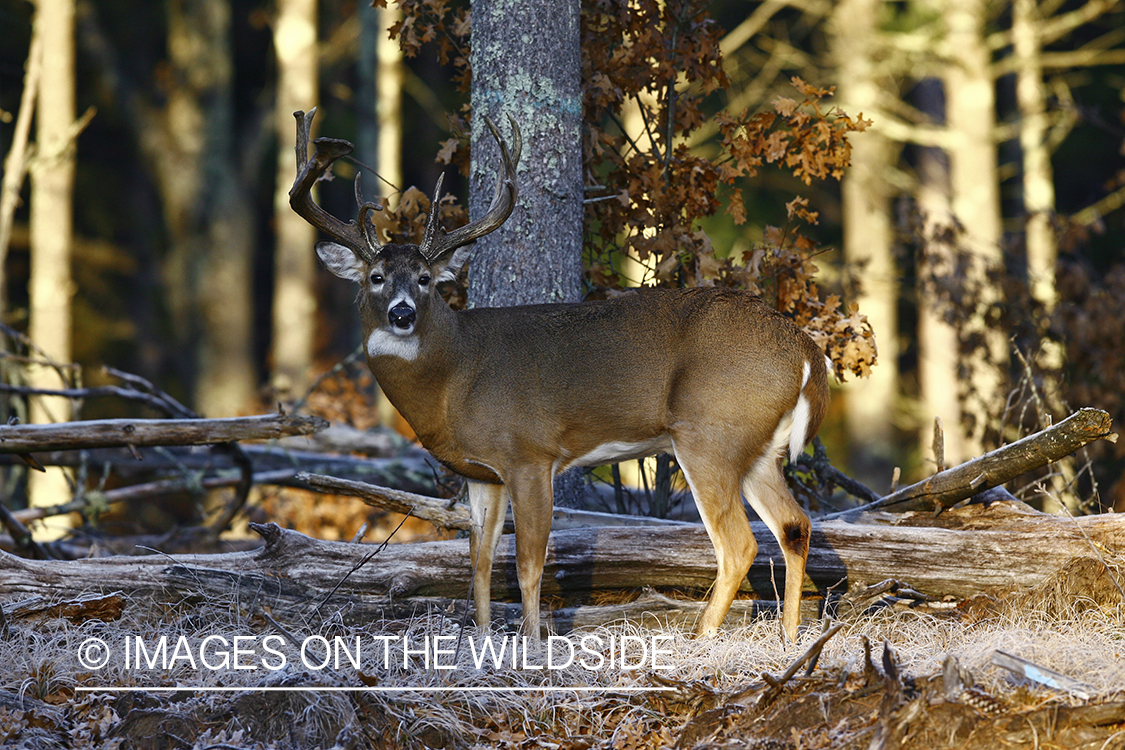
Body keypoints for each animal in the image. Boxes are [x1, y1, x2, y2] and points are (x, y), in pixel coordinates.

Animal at [288, 105, 837, 643]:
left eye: (425, 279)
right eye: (376, 277)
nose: (401, 314)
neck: (454, 375)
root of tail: (806, 350)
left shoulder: (529, 453)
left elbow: (530, 565)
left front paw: (530, 644)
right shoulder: (483, 472)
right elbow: (480, 564)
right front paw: (483, 639)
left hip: (709, 434)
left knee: (739, 544)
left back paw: (702, 641)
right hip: (758, 449)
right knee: (795, 525)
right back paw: (790, 639)